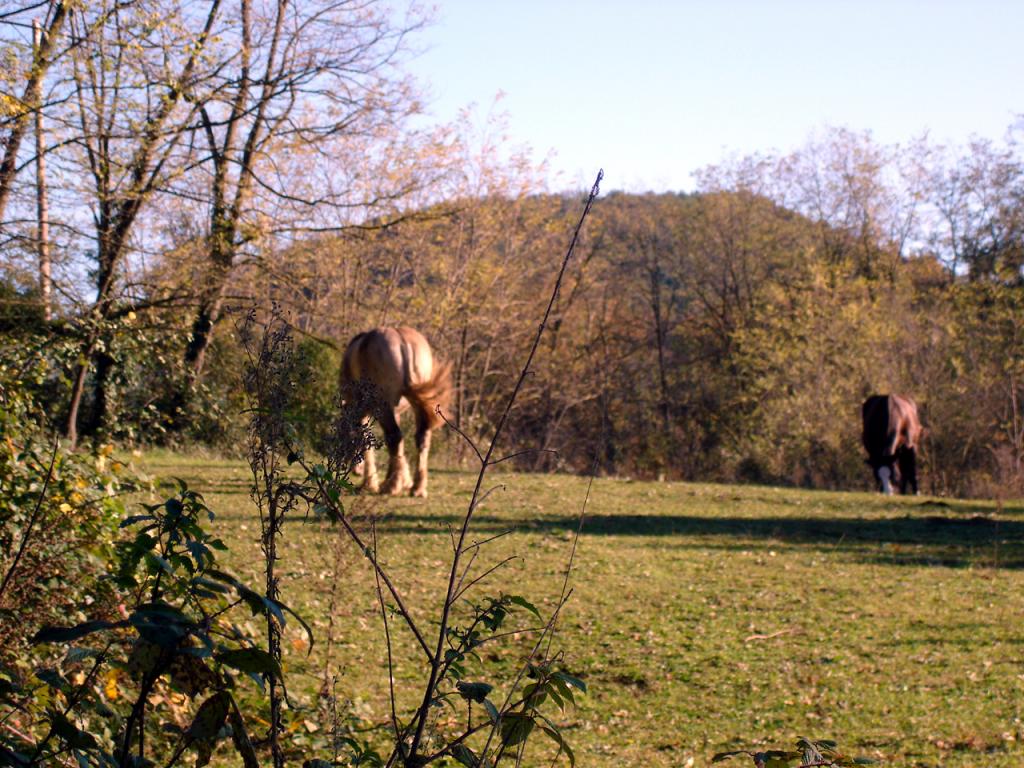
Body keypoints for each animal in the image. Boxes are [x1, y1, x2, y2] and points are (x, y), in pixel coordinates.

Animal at [339, 325, 452, 499]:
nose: (345, 464)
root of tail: (402, 340)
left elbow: (366, 439)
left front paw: (370, 483)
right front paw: (404, 480)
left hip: (383, 404)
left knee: (395, 436)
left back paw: (391, 485)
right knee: (420, 438)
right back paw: (417, 487)